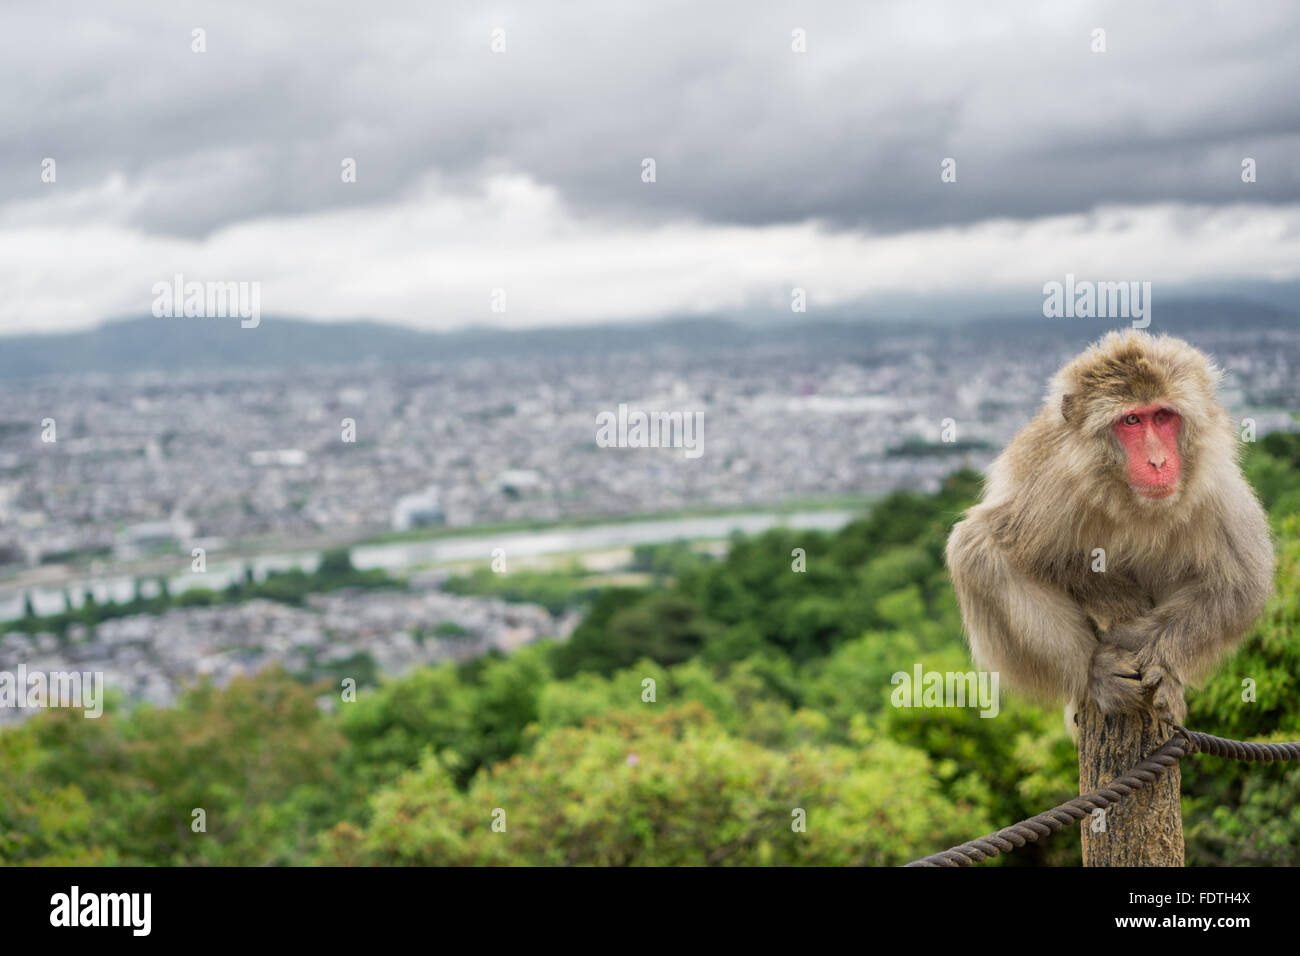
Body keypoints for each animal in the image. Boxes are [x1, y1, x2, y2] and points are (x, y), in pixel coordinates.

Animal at [945, 330, 1274, 734]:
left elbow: (1237, 584)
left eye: (1162, 416)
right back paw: (1096, 671)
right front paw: (1113, 602)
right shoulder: (1054, 485)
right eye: (1131, 420)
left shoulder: (1214, 487)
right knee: (975, 548)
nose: (1158, 462)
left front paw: (1155, 659)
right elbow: (1012, 548)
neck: (1127, 496)